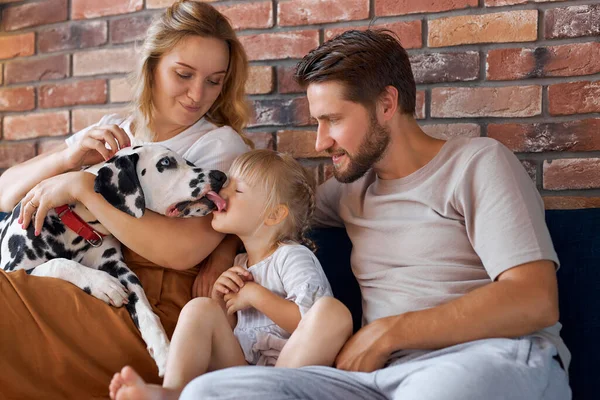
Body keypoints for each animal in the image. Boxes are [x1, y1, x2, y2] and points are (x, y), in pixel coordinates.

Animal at [0, 145, 227, 376]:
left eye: (187, 161)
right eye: (165, 162)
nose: (221, 176)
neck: (76, 224)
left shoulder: (121, 270)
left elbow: (145, 311)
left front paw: (164, 350)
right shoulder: (12, 268)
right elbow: (60, 263)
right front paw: (103, 284)